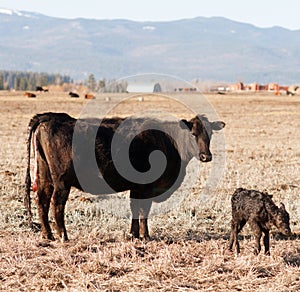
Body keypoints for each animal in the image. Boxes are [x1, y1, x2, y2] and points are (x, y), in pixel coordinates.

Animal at [24, 112, 225, 242]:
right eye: (193, 134)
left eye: (210, 134)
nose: (206, 156)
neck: (169, 141)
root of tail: (50, 117)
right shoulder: (146, 187)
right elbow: (144, 211)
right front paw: (145, 236)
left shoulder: (136, 188)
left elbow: (135, 209)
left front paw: (134, 234)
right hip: (62, 181)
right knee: (56, 204)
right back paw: (63, 236)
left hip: (45, 176)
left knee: (42, 200)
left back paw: (47, 235)